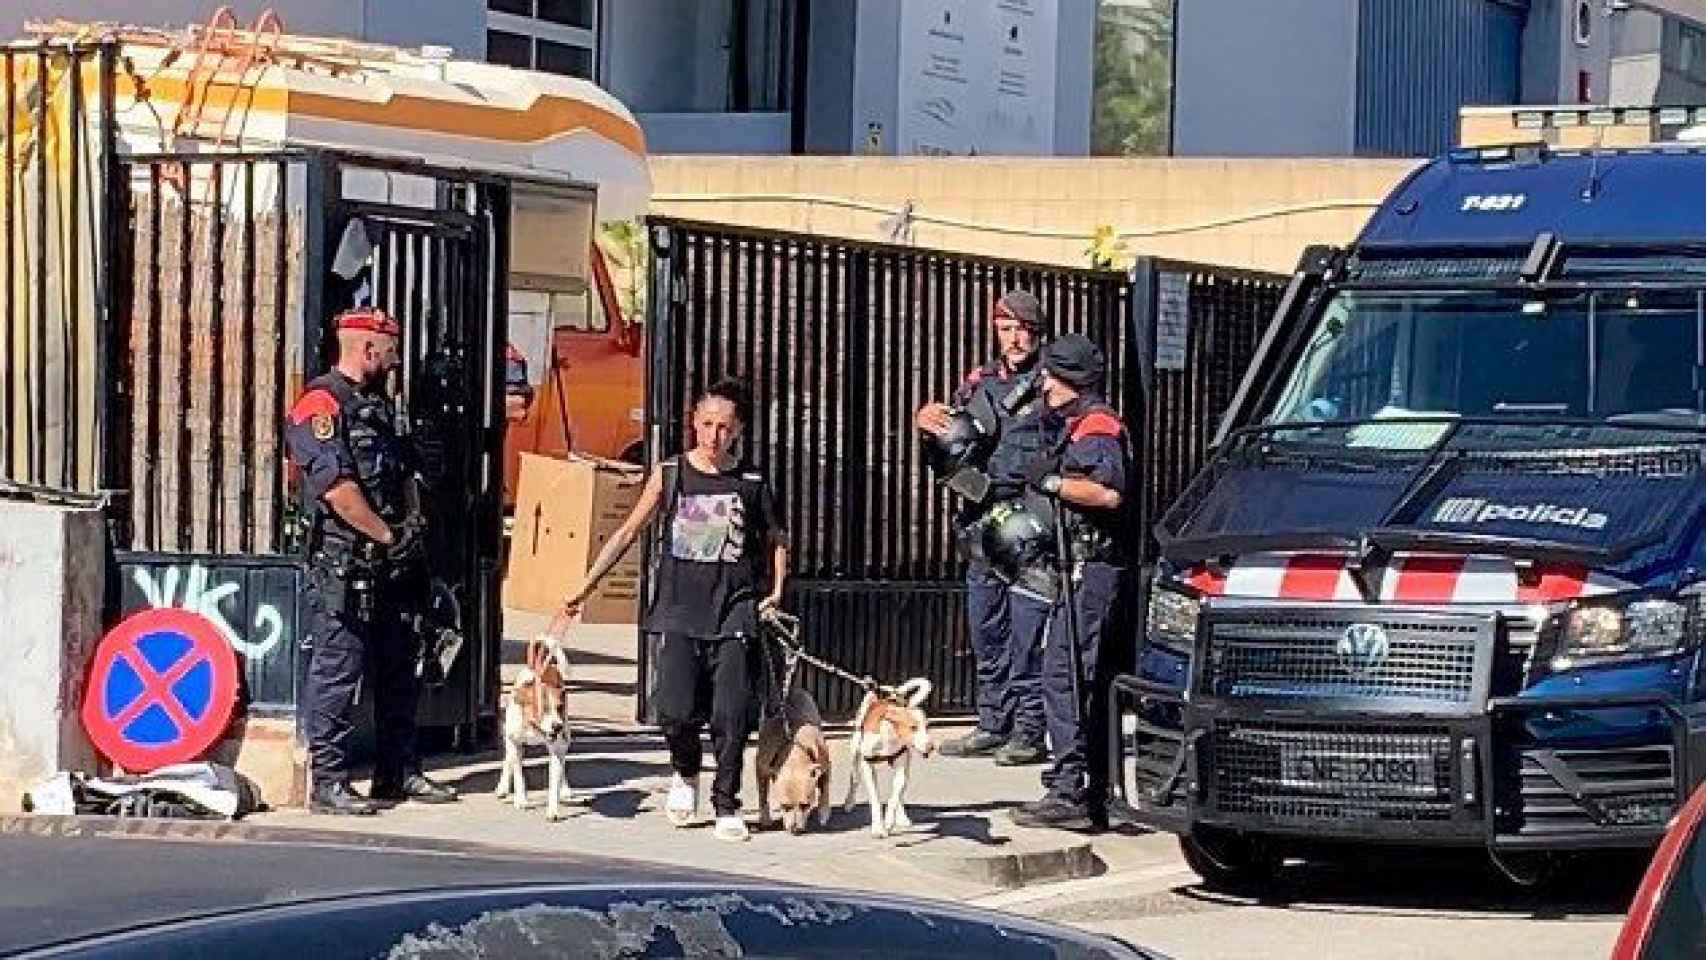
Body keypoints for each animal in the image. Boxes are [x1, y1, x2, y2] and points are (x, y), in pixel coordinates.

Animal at [491, 634, 576, 821]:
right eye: (543, 708)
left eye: (559, 707)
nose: (557, 726)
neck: (534, 727)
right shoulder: (515, 742)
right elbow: (518, 774)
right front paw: (521, 800)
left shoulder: (557, 747)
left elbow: (554, 780)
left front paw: (553, 810)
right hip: (509, 738)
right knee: (508, 759)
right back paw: (502, 787)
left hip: (565, 738)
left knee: (562, 764)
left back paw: (565, 789)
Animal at [760, 682, 839, 835]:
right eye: (785, 806)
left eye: (805, 805)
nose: (795, 829)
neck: (794, 755)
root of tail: (792, 688)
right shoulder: (761, 769)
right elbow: (762, 794)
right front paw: (765, 818)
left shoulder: (826, 766)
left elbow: (825, 788)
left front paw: (824, 812)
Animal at [846, 678, 941, 838]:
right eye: (913, 727)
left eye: (927, 726)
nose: (931, 747)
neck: (890, 736)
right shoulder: (868, 766)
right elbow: (875, 800)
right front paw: (878, 827)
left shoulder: (901, 766)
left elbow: (894, 798)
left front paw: (889, 821)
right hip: (855, 751)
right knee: (854, 778)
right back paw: (849, 802)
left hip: (905, 767)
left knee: (899, 792)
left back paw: (902, 817)